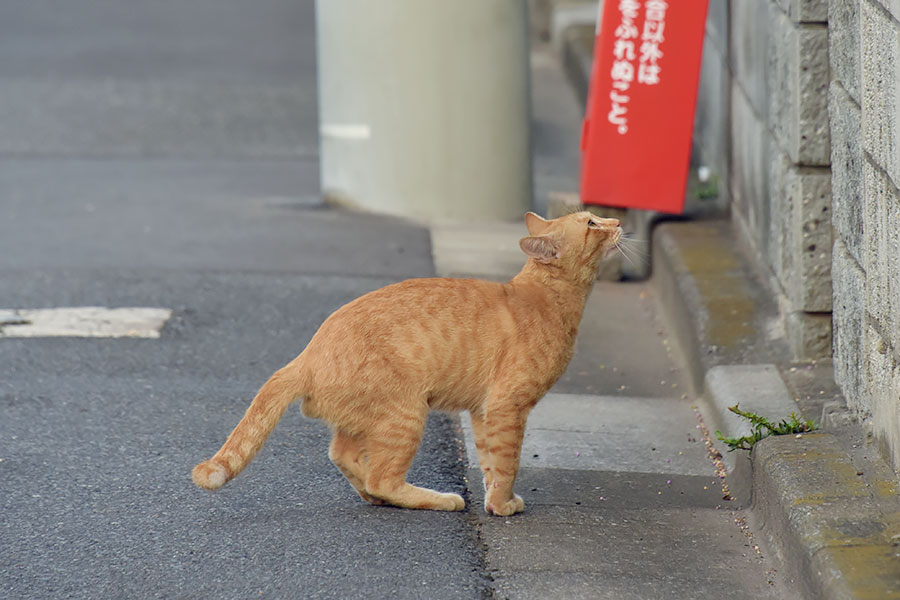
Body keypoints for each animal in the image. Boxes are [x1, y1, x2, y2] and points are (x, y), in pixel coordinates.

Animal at [193, 211, 624, 516]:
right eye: (591, 223)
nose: (618, 222)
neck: (547, 299)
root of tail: (307, 354)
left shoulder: (483, 410)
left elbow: (488, 459)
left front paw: (494, 499)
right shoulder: (507, 406)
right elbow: (507, 462)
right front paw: (503, 505)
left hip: (369, 418)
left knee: (344, 456)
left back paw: (372, 495)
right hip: (406, 414)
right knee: (383, 477)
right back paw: (439, 498)